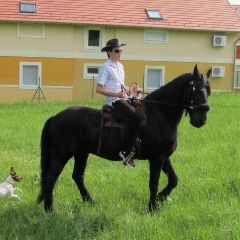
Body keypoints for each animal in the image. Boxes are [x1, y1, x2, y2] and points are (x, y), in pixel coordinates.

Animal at [37, 64, 210, 212]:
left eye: (208, 91)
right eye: (198, 90)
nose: (201, 120)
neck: (160, 113)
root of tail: (55, 117)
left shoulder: (164, 157)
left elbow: (174, 180)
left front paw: (160, 199)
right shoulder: (157, 158)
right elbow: (153, 184)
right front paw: (152, 208)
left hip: (81, 153)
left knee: (77, 176)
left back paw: (91, 202)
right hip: (62, 154)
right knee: (51, 178)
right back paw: (50, 210)